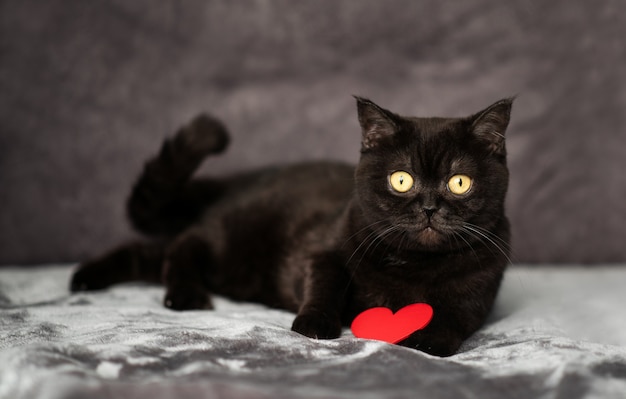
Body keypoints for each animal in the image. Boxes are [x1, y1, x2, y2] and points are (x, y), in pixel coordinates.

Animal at [70, 97, 510, 356]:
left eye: (459, 182)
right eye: (401, 180)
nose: (430, 207)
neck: (416, 266)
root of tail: (242, 180)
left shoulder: (482, 287)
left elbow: (457, 314)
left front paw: (429, 339)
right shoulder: (325, 247)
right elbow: (325, 281)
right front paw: (314, 324)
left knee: (152, 253)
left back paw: (86, 279)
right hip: (228, 241)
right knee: (181, 246)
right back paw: (183, 295)